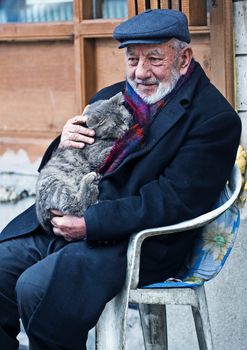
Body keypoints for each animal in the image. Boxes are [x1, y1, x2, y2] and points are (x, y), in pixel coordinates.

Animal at [35, 92, 132, 235]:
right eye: (115, 125)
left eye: (124, 119)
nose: (126, 130)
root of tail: (42, 217)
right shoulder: (95, 155)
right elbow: (112, 148)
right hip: (56, 185)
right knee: (78, 206)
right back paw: (90, 180)